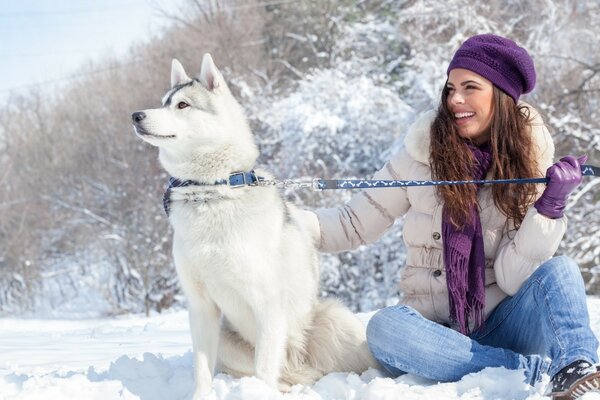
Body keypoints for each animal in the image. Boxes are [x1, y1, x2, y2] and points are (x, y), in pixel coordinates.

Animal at [132, 55, 376, 396]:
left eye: (182, 105)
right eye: (162, 102)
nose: (136, 115)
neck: (212, 192)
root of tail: (299, 364)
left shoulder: (268, 304)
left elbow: (263, 367)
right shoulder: (201, 307)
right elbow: (202, 370)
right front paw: (201, 396)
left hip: (335, 320)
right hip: (227, 341)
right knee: (284, 376)